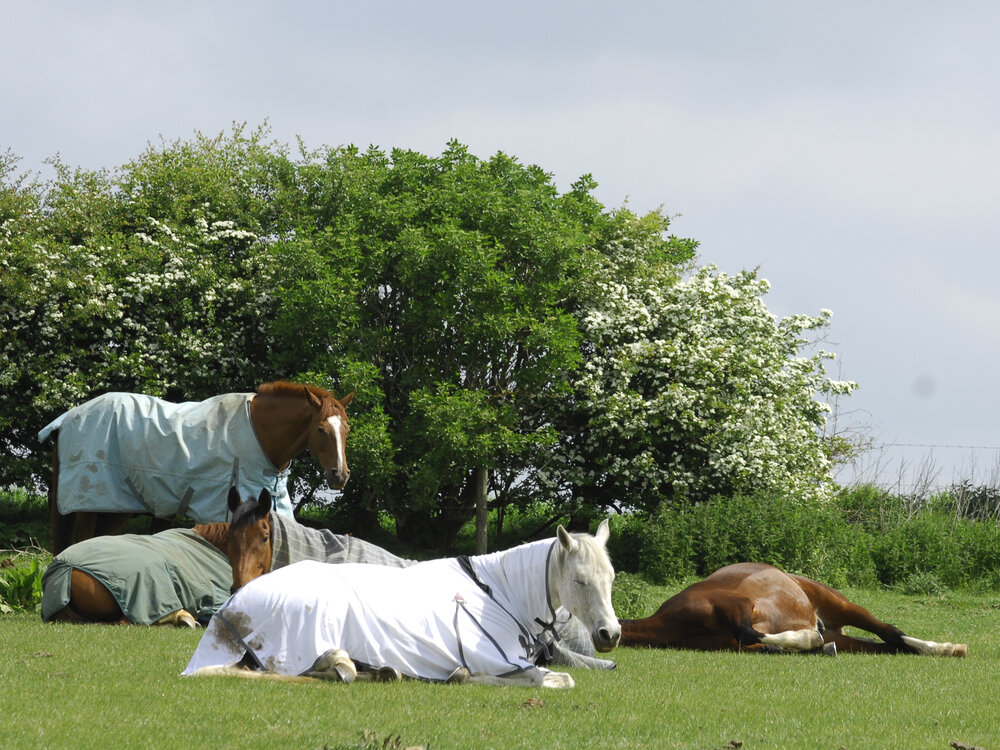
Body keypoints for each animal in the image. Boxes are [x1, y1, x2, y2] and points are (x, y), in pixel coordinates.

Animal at [40, 381, 352, 554]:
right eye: (322, 429)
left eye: (346, 429)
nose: (339, 475)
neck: (260, 434)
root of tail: (68, 418)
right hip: (90, 504)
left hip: (116, 507)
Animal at [183, 520, 621, 688]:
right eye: (580, 581)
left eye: (612, 579)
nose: (611, 634)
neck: (498, 591)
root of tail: (232, 604)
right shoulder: (503, 661)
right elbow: (554, 679)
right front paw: (464, 676)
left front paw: (457, 675)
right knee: (310, 669)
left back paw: (381, 671)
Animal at [619, 562, 967, 656]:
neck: (673, 621)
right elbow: (755, 642)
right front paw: (811, 645)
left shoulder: (738, 606)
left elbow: (748, 632)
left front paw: (809, 640)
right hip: (846, 637)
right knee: (887, 645)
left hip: (842, 606)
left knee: (890, 631)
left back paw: (948, 648)